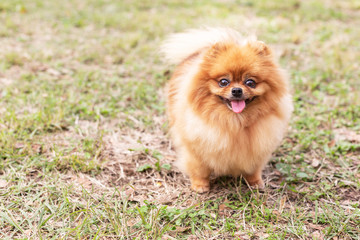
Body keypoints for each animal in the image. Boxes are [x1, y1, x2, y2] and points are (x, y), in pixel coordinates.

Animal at [160, 28, 292, 193]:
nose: (236, 90)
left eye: (250, 82)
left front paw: (255, 182)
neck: (235, 121)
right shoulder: (196, 149)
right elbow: (199, 170)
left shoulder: (258, 149)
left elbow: (253, 169)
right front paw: (200, 186)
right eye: (224, 82)